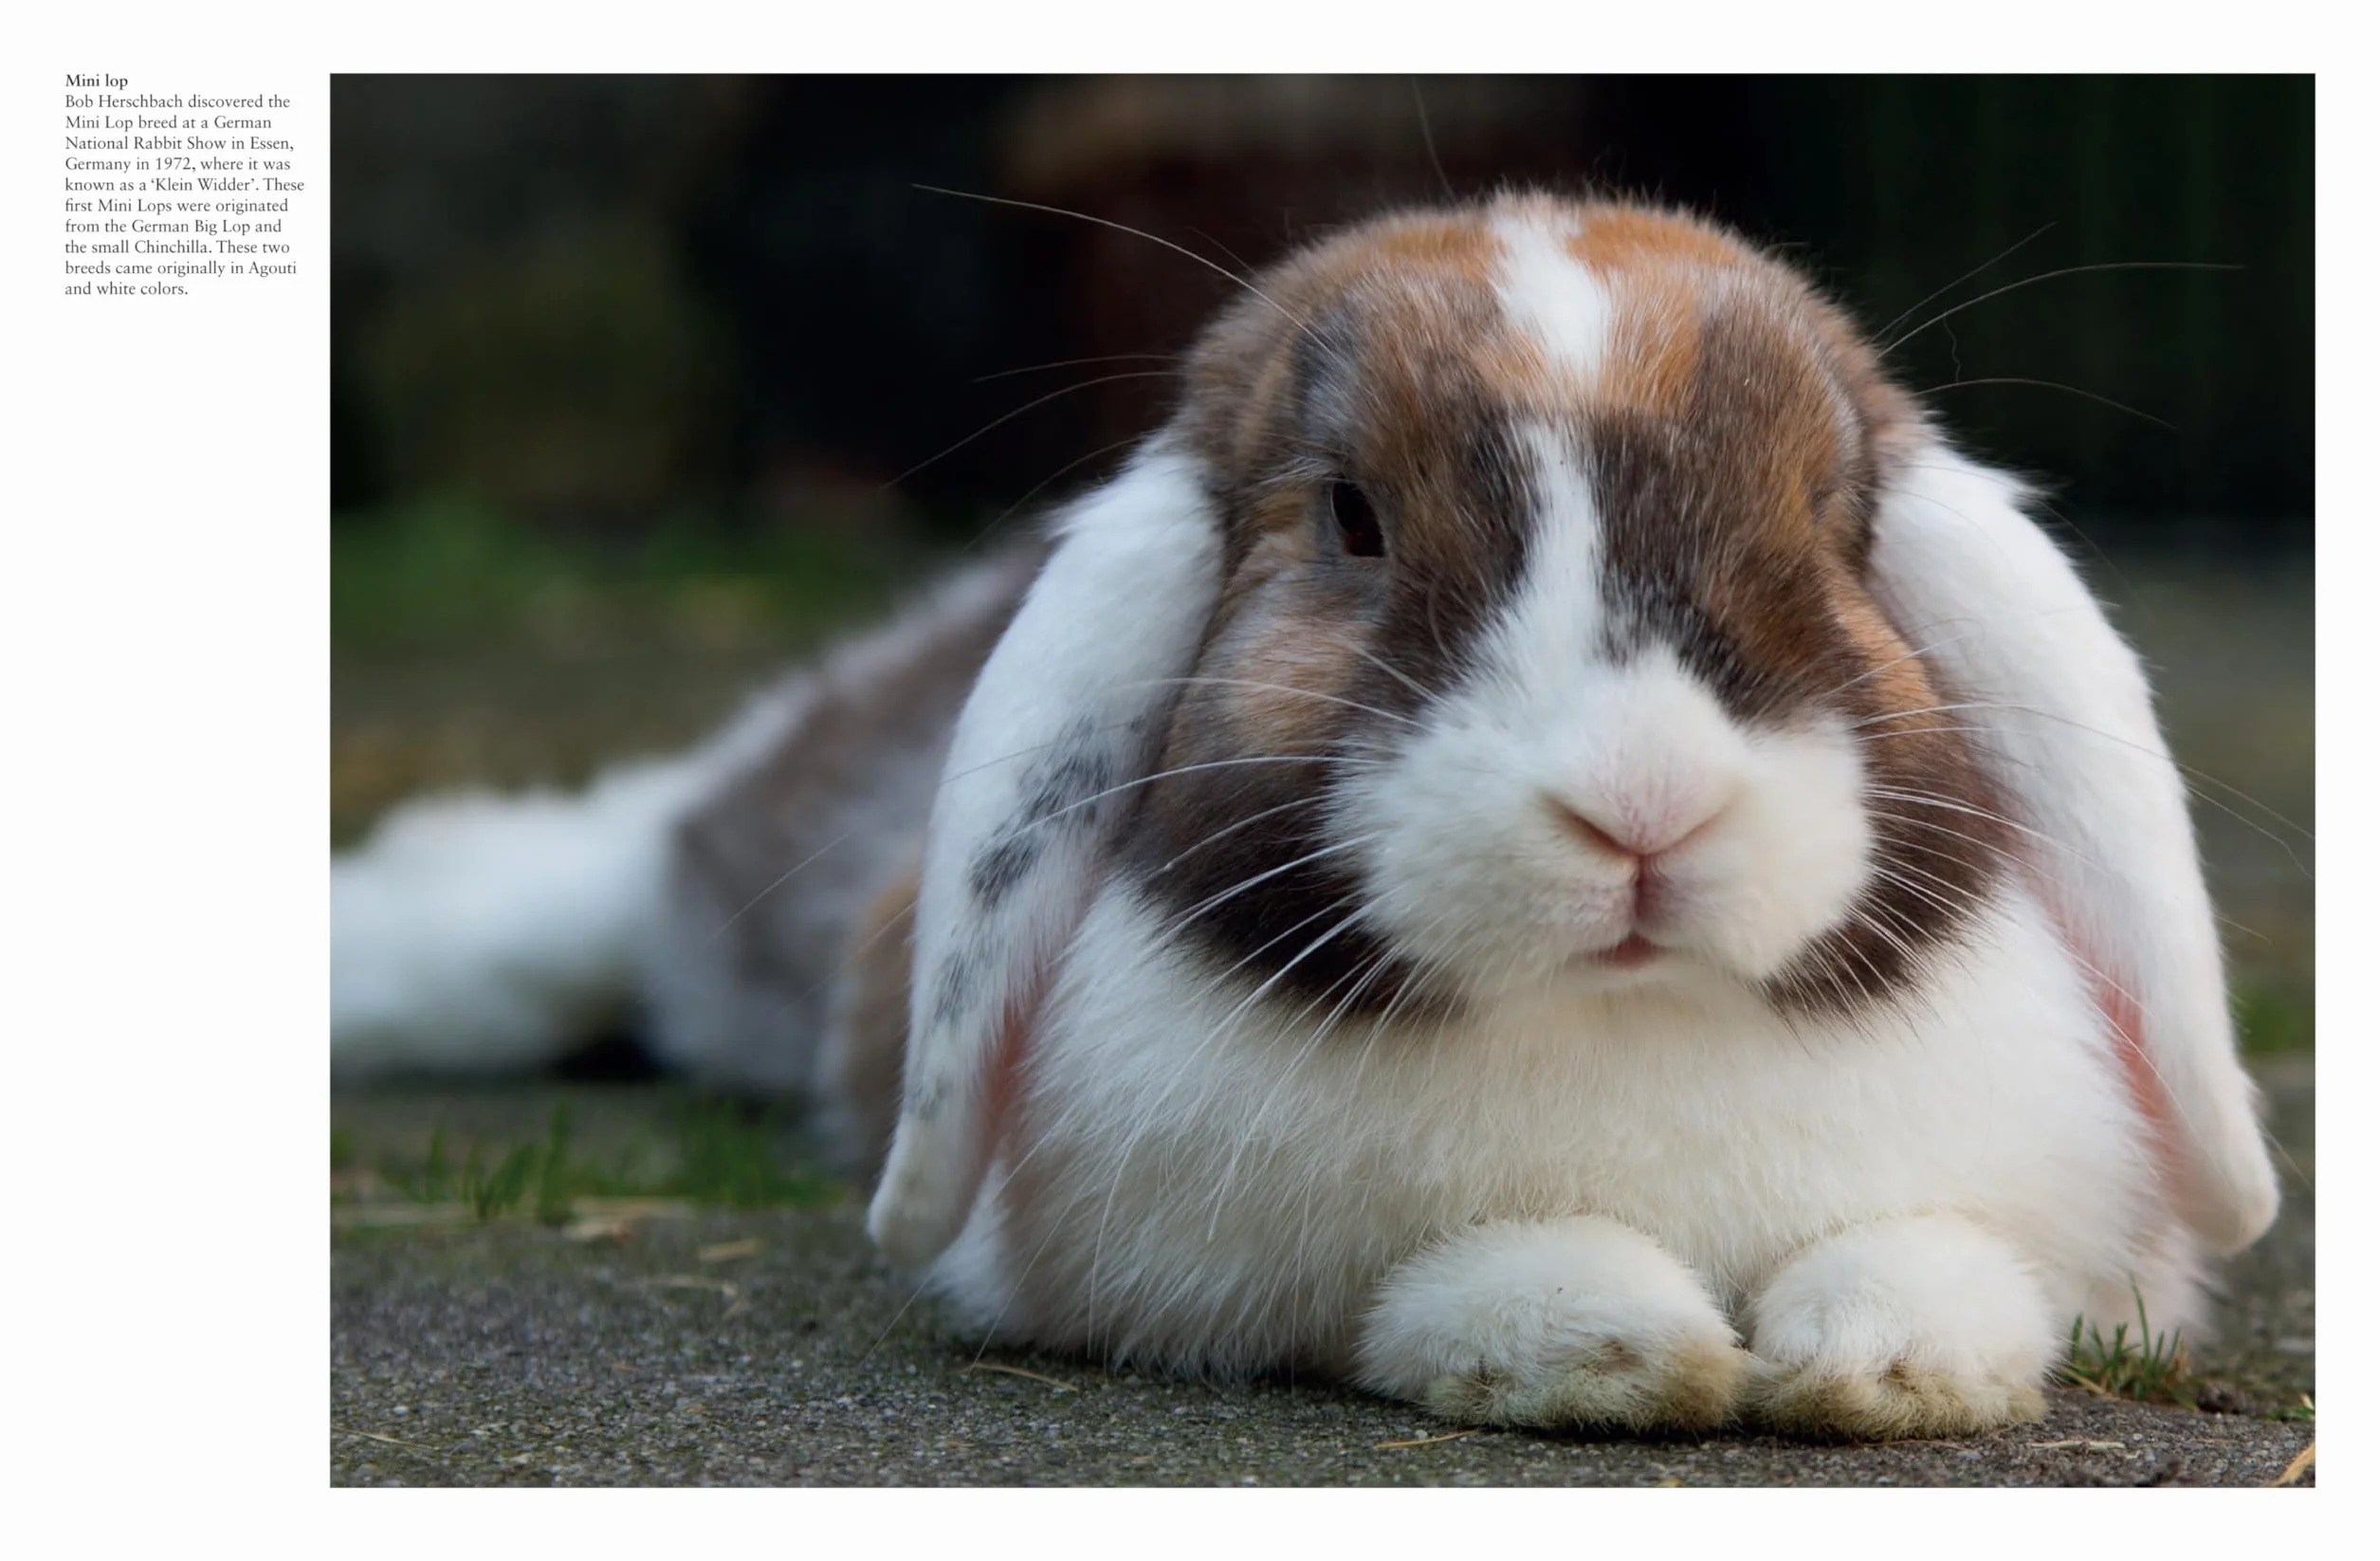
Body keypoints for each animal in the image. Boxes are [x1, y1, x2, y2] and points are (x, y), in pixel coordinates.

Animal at [332, 190, 2280, 1442]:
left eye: (1823, 515)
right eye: (1352, 517)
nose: (1641, 804)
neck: (1621, 1024)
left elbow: (1936, 1267)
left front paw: (1875, 1362)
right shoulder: (1214, 1276)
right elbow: (1442, 1293)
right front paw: (1625, 1340)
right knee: (630, 866)